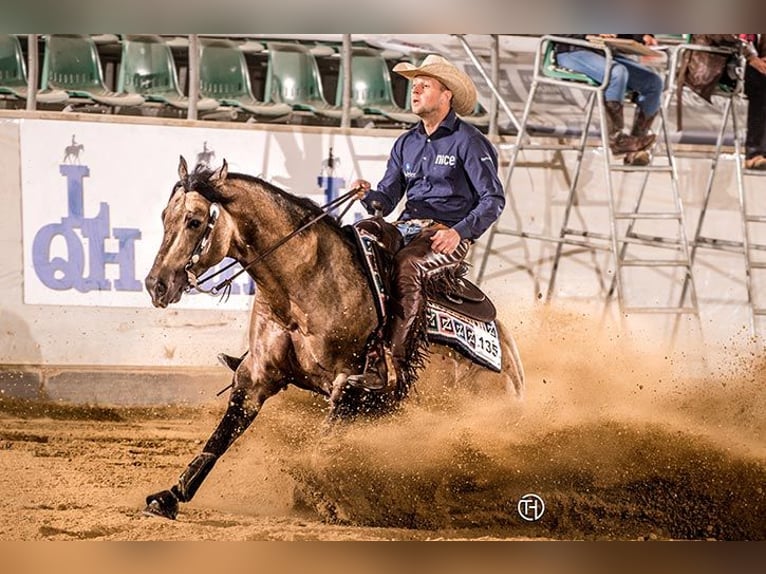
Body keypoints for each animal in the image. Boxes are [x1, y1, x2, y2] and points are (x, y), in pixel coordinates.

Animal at [142, 158, 528, 520]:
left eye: (194, 221)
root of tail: (513, 367)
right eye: (164, 216)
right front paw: (169, 497)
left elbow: (322, 447)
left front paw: (321, 496)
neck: (304, 282)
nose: (156, 284)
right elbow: (220, 438)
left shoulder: (349, 389)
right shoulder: (256, 377)